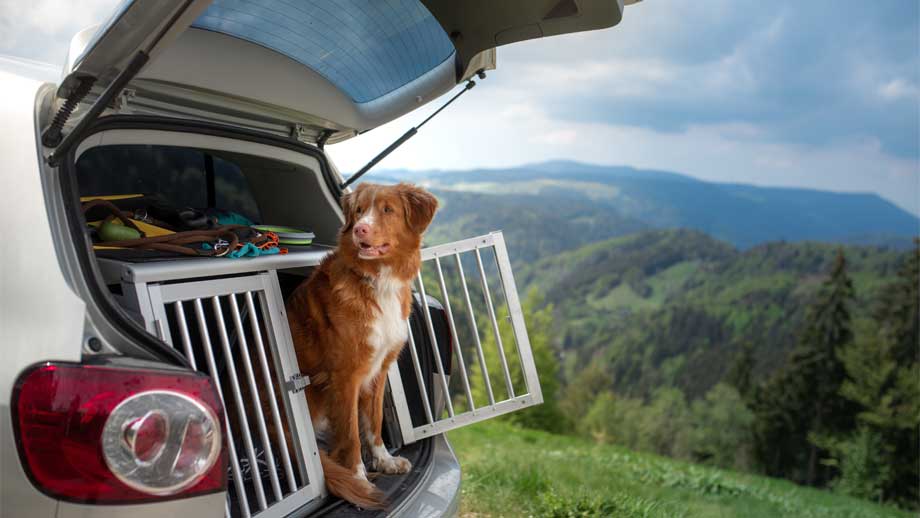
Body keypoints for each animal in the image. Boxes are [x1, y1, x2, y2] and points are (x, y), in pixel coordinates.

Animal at [286, 184, 440, 512]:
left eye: (387, 210)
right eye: (358, 211)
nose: (360, 229)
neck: (378, 278)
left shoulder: (379, 369)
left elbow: (374, 421)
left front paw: (384, 460)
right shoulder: (346, 377)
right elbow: (351, 435)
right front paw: (358, 477)